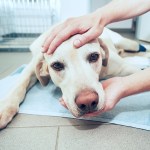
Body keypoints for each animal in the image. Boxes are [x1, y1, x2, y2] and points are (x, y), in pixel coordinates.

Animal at [0, 26, 146, 127]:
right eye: (57, 65)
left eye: (94, 56)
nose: (88, 101)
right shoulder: (31, 66)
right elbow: (19, 84)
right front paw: (5, 108)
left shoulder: (128, 68)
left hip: (128, 43)